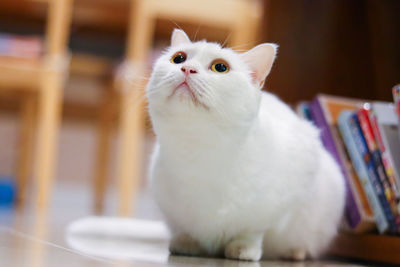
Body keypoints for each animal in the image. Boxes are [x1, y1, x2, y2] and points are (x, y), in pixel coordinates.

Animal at [147, 29, 344, 262]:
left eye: (220, 67)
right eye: (178, 58)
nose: (187, 68)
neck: (198, 152)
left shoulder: (274, 207)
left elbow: (251, 232)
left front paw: (243, 249)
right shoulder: (173, 211)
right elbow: (187, 229)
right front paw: (187, 243)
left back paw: (295, 252)